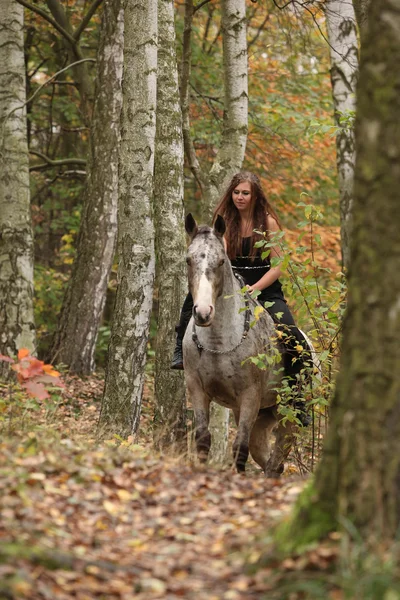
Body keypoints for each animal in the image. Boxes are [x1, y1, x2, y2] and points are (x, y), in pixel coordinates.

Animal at [183, 213, 298, 476]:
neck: (218, 343)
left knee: (277, 456)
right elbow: (203, 439)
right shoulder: (197, 388)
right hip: (263, 418)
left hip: (287, 416)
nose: (203, 313)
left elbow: (239, 448)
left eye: (221, 261)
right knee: (269, 460)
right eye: (188, 260)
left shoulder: (250, 397)